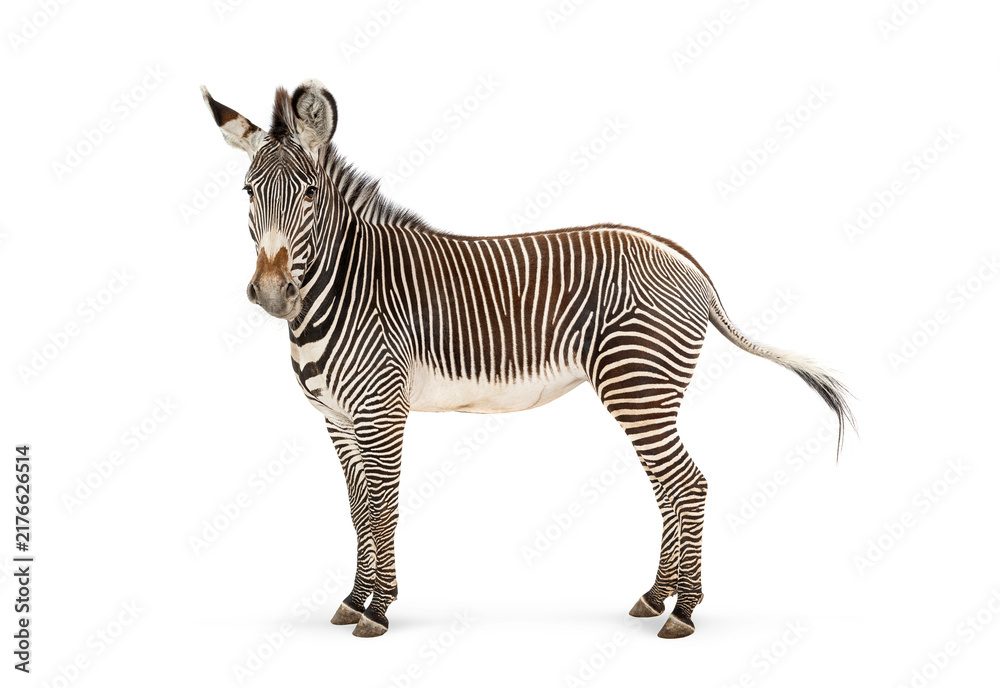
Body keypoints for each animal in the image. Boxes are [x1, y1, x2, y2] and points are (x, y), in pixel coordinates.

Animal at [201, 79, 854, 639]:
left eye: (310, 194)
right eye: (248, 193)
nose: (272, 294)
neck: (341, 288)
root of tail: (680, 258)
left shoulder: (381, 410)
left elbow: (382, 508)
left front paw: (379, 609)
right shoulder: (336, 419)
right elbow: (360, 509)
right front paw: (354, 599)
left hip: (638, 385)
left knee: (687, 484)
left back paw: (685, 611)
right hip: (647, 393)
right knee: (669, 487)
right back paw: (655, 597)